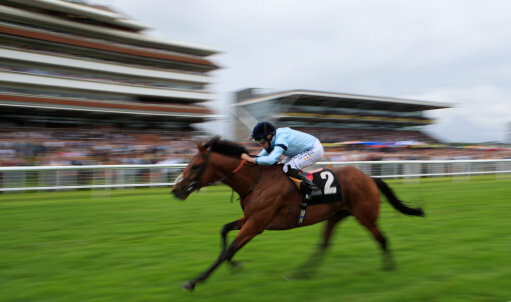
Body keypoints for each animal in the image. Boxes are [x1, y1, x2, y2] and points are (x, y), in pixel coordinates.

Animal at [172, 137, 424, 290]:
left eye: (195, 166)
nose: (176, 189)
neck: (256, 181)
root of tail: (370, 178)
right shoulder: (251, 218)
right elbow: (224, 231)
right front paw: (235, 266)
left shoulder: (257, 223)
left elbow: (229, 249)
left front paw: (194, 281)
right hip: (335, 216)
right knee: (324, 245)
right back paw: (301, 274)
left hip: (366, 216)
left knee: (382, 238)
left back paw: (390, 269)